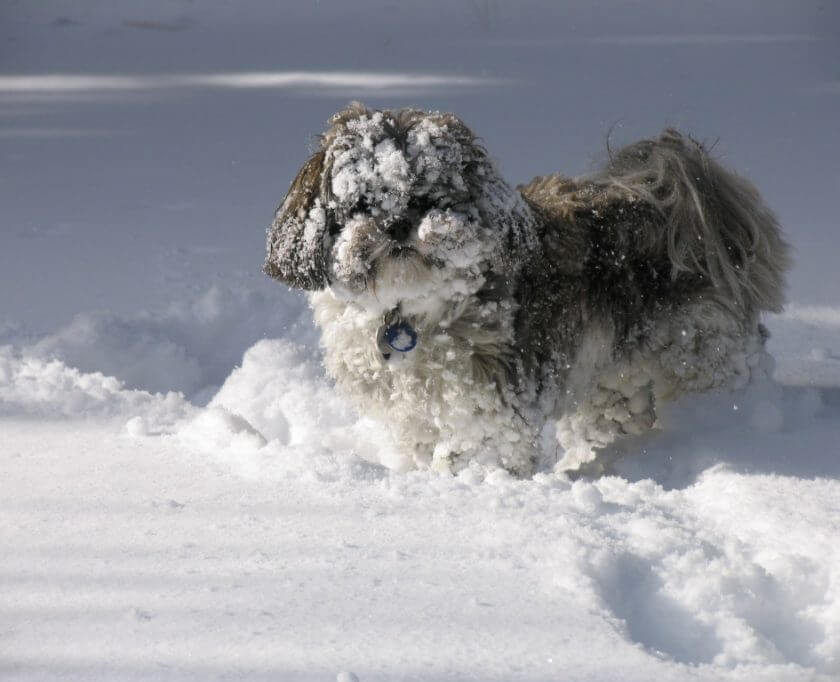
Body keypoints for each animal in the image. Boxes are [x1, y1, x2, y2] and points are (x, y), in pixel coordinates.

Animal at [266, 103, 792, 476]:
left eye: (432, 196)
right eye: (360, 202)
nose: (396, 223)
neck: (410, 311)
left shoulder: (489, 408)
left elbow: (483, 455)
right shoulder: (413, 415)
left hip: (700, 350)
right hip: (612, 376)